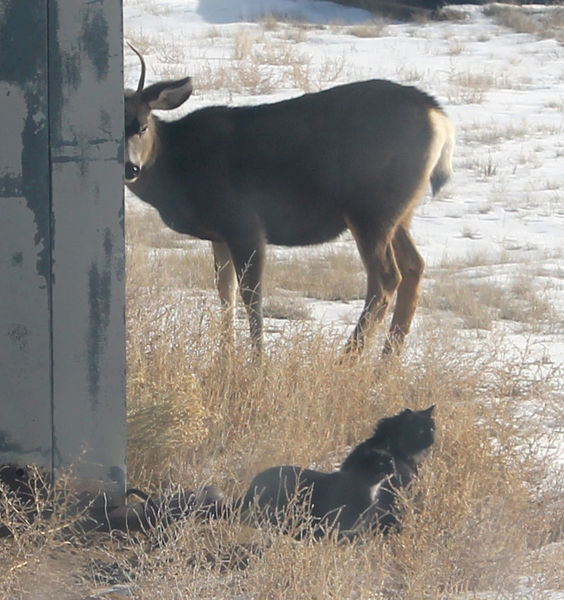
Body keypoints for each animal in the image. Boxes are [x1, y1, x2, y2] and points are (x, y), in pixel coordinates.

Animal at [124, 49, 454, 356]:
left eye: (142, 126)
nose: (131, 168)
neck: (177, 165)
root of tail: (438, 116)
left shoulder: (244, 221)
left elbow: (251, 294)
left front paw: (257, 362)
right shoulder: (218, 234)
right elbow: (225, 292)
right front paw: (225, 357)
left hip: (372, 208)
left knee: (386, 278)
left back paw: (347, 360)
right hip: (400, 212)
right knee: (414, 266)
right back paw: (386, 363)